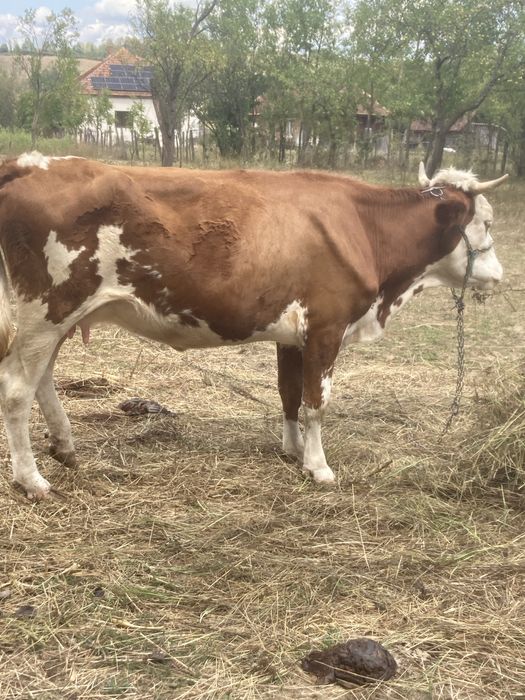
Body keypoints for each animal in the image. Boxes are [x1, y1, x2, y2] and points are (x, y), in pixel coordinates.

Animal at [0, 152, 507, 499]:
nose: (499, 276)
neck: (365, 227)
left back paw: (65, 447)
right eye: (485, 221)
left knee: (43, 379)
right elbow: (316, 401)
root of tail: (30, 163)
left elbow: (289, 393)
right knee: (17, 390)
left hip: (58, 317)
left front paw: (293, 450)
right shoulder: (327, 326)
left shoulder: (294, 333)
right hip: (46, 309)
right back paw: (32, 479)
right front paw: (319, 466)